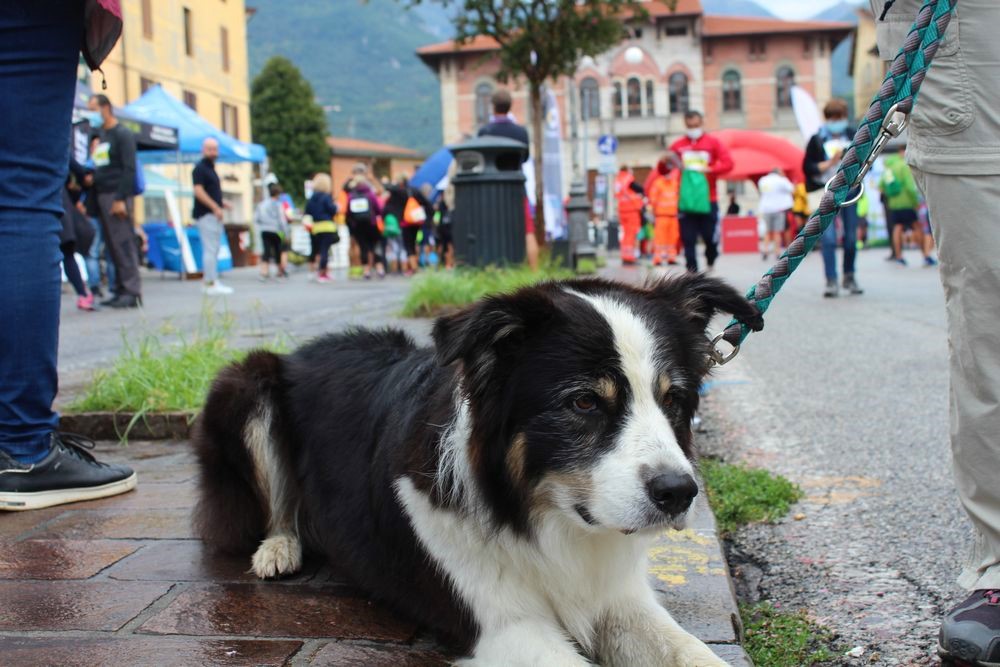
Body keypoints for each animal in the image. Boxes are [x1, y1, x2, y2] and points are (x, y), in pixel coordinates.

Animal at [192, 273, 762, 666]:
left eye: (674, 399)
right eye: (583, 402)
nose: (679, 492)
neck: (543, 518)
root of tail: (308, 347)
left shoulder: (620, 598)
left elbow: (693, 653)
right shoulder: (502, 624)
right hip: (245, 384)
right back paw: (278, 547)